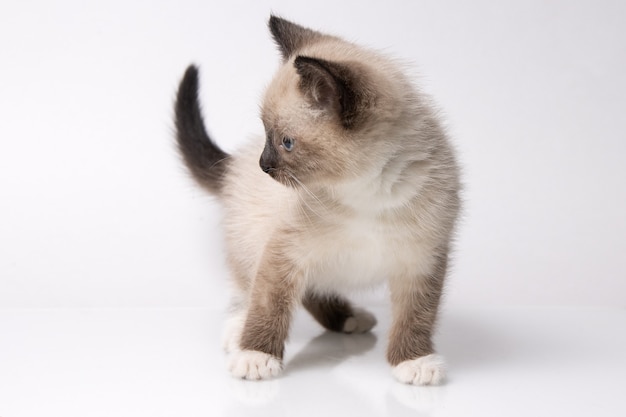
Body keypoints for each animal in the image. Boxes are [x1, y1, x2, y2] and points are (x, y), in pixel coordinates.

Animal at [173, 16, 460, 386]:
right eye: (266, 133)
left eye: (287, 142)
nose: (263, 166)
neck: (366, 190)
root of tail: (234, 163)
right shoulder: (283, 251)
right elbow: (267, 304)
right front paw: (256, 355)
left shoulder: (422, 260)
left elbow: (416, 316)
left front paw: (414, 361)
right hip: (250, 241)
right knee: (244, 290)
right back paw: (237, 331)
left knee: (312, 291)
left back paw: (347, 318)